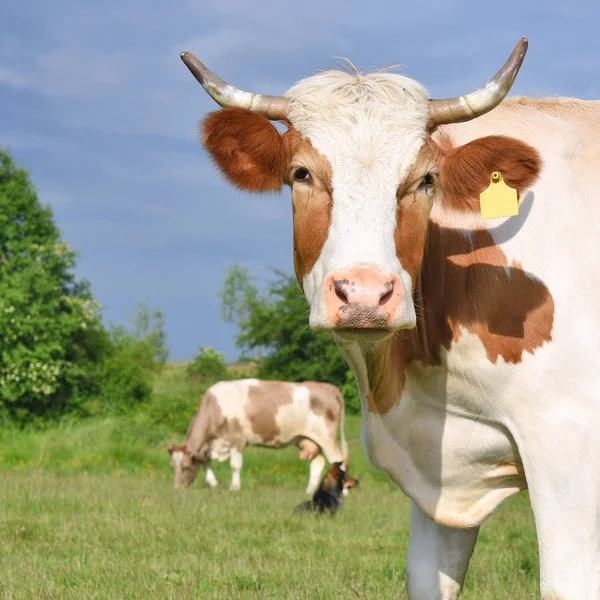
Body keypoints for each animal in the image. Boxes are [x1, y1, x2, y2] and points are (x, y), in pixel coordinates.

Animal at [166, 380, 350, 492]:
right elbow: (205, 462)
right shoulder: (211, 444)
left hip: (326, 437)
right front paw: (213, 483)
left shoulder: (237, 439)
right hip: (307, 440)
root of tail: (326, 387)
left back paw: (343, 492)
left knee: (338, 461)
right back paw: (309, 490)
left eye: (186, 467)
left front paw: (234, 488)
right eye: (172, 466)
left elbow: (235, 465)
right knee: (318, 463)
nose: (177, 489)